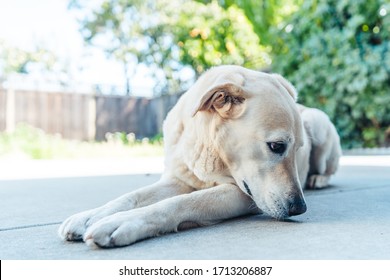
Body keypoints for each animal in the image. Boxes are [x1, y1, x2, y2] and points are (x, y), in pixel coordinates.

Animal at [58, 65, 342, 247]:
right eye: (276, 146)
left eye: (299, 149)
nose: (299, 208)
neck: (209, 149)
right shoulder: (177, 180)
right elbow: (132, 196)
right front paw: (90, 216)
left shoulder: (241, 195)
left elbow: (179, 203)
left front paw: (121, 223)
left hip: (317, 121)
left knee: (328, 170)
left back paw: (317, 180)